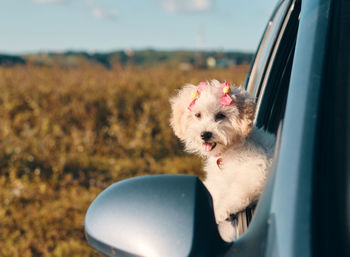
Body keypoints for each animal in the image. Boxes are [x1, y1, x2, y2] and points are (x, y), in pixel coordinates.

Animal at [170, 79, 276, 241]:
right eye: (197, 115)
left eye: (220, 115)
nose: (205, 134)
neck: (229, 149)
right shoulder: (217, 179)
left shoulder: (257, 170)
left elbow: (238, 191)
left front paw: (220, 210)